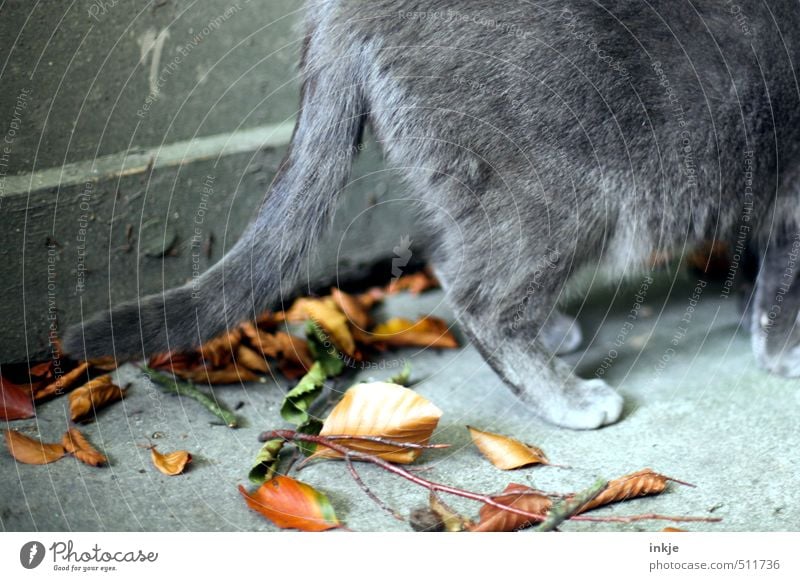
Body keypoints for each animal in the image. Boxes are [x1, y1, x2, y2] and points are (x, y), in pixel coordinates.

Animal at [61, 0, 800, 426]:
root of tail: (344, 9)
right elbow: (784, 288)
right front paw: (782, 350)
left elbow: (760, 267)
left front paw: (746, 304)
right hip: (571, 195)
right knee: (485, 301)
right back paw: (570, 397)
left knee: (450, 255)